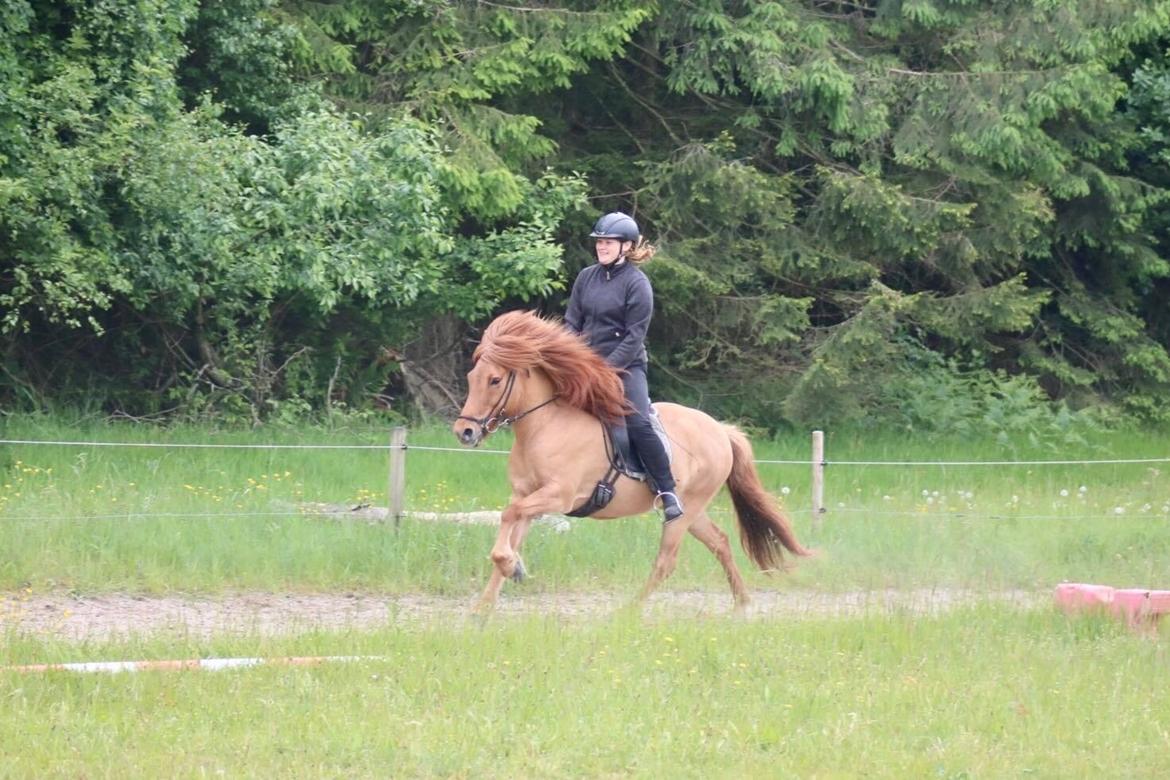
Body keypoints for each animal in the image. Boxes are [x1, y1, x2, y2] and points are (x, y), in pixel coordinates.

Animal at [451, 311, 809, 608]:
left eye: (495, 380)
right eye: (471, 377)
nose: (464, 432)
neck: (544, 426)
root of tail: (720, 430)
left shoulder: (558, 495)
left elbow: (508, 517)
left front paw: (510, 569)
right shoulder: (526, 496)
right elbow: (510, 528)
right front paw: (489, 600)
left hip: (685, 509)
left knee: (667, 560)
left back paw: (630, 610)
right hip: (695, 511)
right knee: (719, 542)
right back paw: (742, 604)